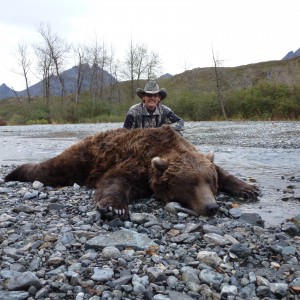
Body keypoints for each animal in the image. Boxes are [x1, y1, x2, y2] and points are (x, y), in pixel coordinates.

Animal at [4, 125, 258, 219]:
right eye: (189, 184)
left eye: (210, 182)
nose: (211, 207)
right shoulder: (136, 162)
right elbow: (115, 180)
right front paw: (114, 207)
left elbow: (223, 170)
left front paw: (247, 188)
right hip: (80, 159)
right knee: (49, 170)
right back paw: (13, 173)